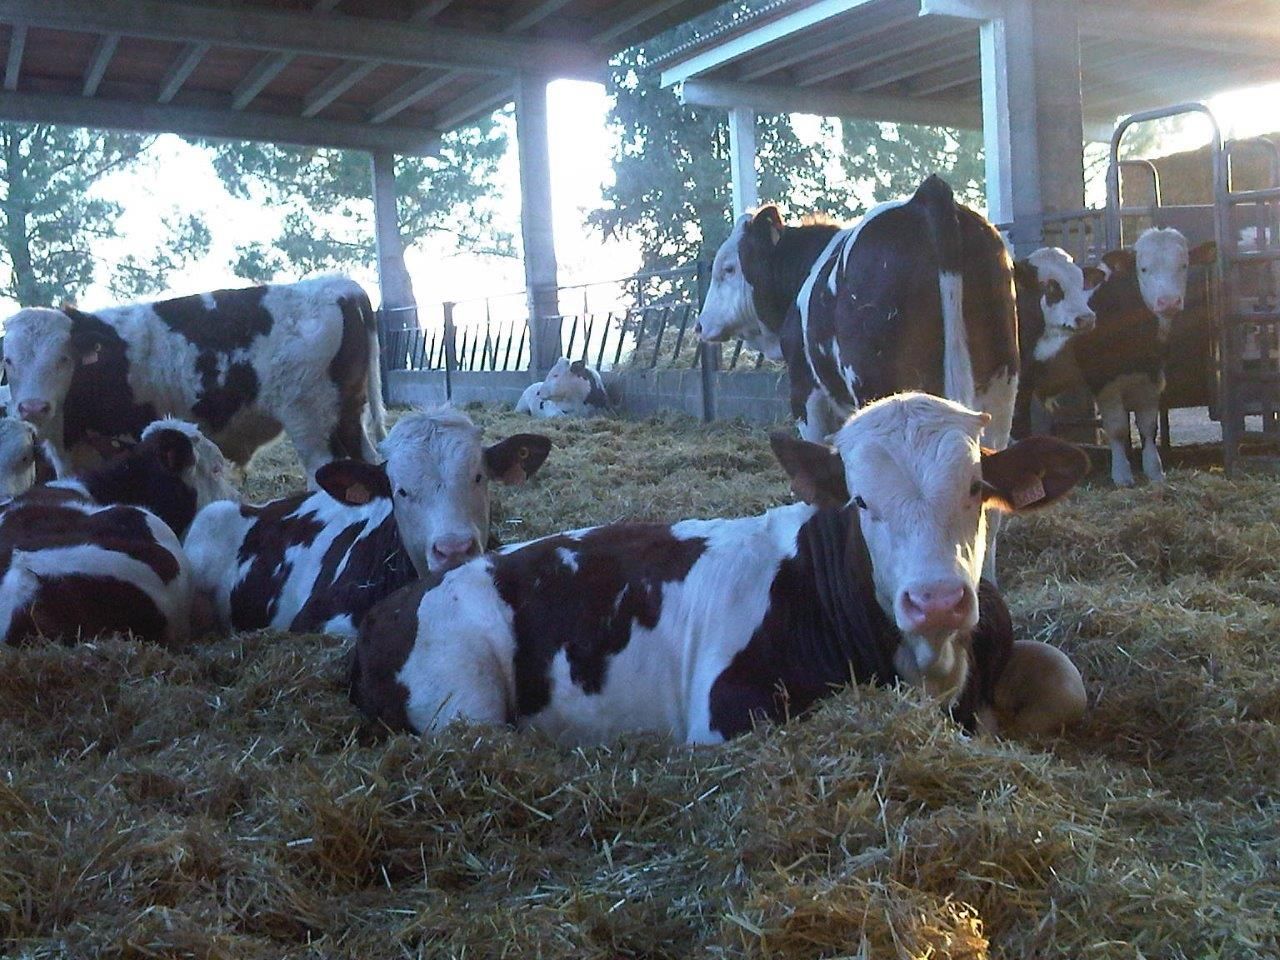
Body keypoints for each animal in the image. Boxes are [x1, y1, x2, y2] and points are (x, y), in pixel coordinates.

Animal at [2, 273, 386, 483]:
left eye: (63, 359)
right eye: (8, 361)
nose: (33, 408)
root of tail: (338, 285)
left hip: (310, 419)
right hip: (347, 414)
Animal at [350, 394, 1090, 747]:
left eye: (976, 487)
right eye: (860, 500)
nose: (936, 600)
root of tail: (391, 604)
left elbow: (1064, 678)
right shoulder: (725, 710)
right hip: (462, 692)